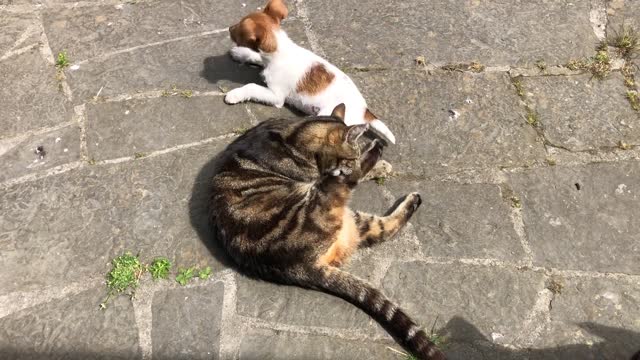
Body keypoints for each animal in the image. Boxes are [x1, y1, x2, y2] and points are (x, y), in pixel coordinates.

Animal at [210, 102, 444, 358]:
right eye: (351, 157)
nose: (354, 160)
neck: (294, 136)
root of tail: (302, 267)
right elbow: (359, 171)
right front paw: (373, 161)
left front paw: (377, 164)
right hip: (326, 199)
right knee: (352, 188)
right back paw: (377, 150)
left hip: (352, 220)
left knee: (383, 228)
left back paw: (412, 198)